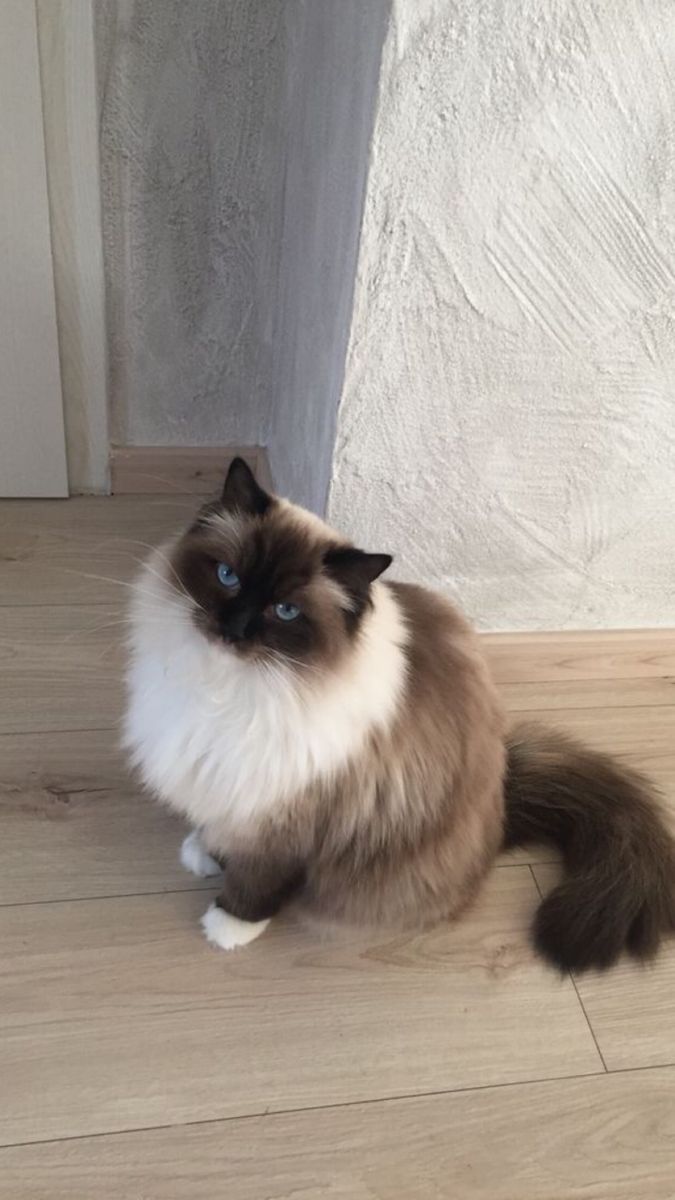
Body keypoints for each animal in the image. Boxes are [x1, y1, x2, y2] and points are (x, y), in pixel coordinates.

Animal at [121, 453, 672, 969]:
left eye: (286, 612)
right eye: (227, 576)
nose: (232, 629)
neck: (229, 689)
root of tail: (501, 803)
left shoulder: (283, 815)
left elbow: (257, 880)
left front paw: (228, 925)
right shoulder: (231, 784)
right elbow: (218, 826)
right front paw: (205, 853)